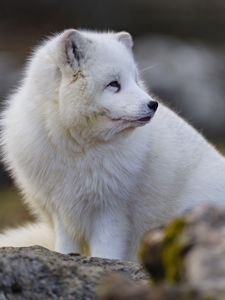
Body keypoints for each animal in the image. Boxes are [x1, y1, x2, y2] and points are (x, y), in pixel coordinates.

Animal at [0, 29, 225, 262]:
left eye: (135, 80)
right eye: (114, 84)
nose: (153, 104)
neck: (77, 151)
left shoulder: (111, 213)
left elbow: (106, 254)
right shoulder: (62, 212)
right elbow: (65, 248)